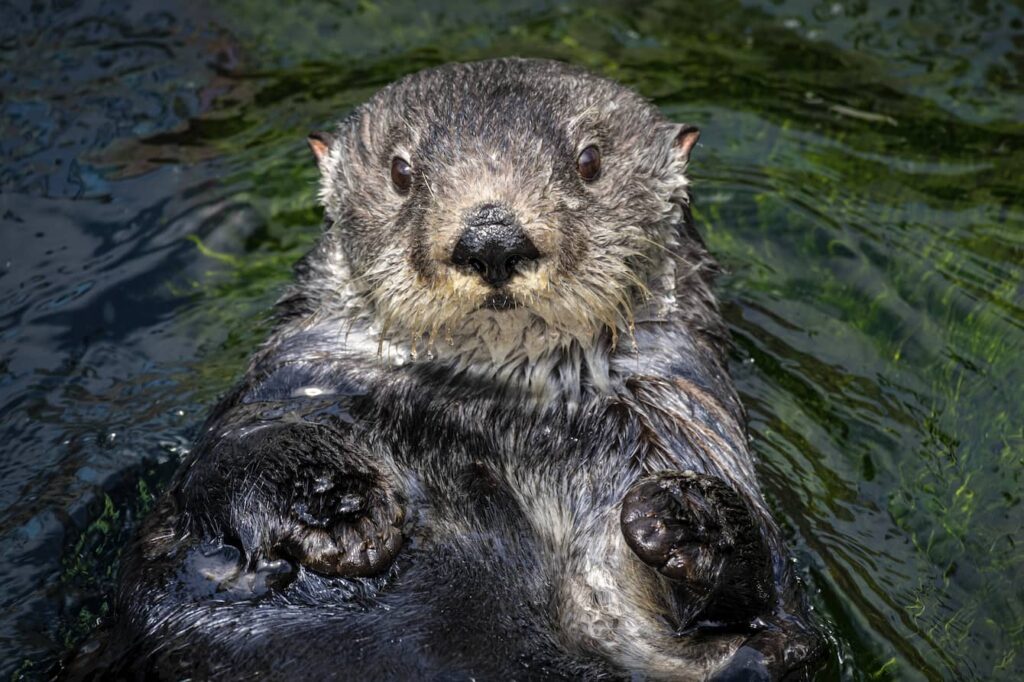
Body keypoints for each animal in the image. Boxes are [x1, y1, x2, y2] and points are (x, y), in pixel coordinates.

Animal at [65, 58, 825, 680]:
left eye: (589, 161)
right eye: (402, 173)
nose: (491, 238)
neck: (495, 406)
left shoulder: (681, 423)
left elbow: (756, 621)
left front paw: (692, 519)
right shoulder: (295, 378)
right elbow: (230, 458)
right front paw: (333, 504)